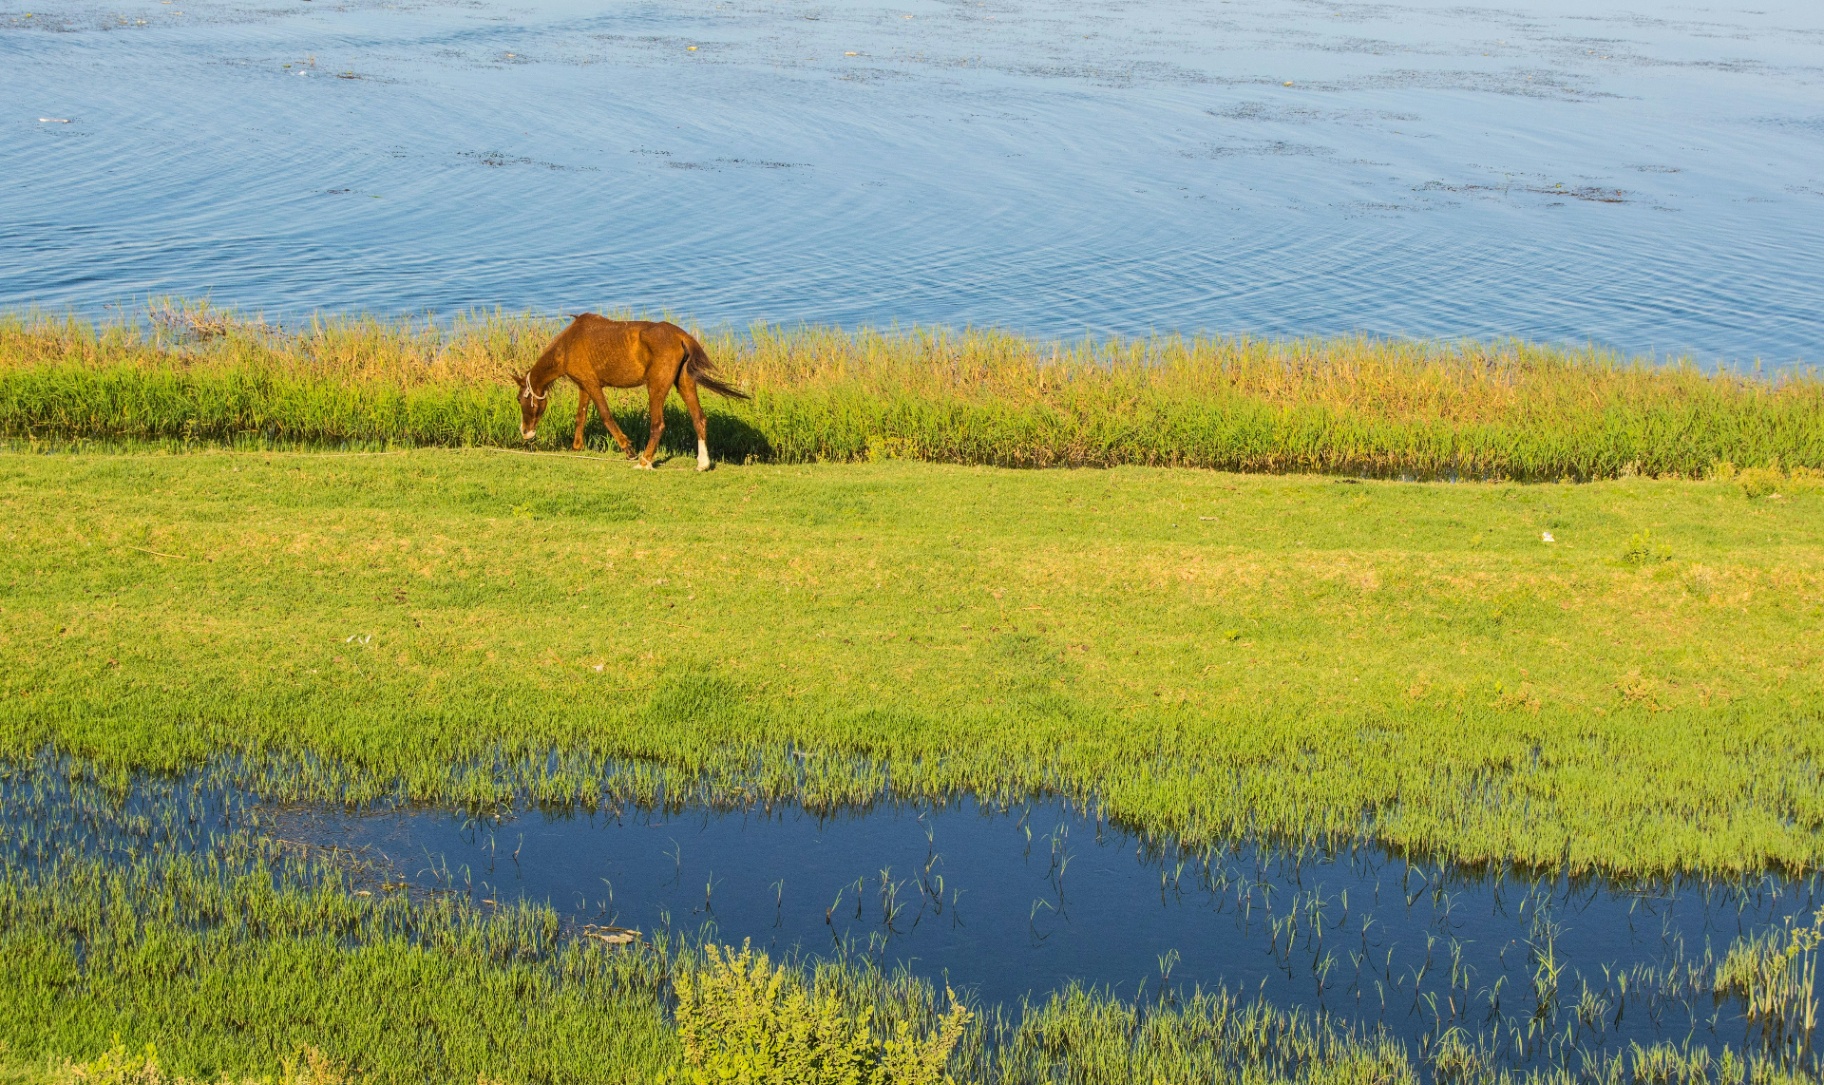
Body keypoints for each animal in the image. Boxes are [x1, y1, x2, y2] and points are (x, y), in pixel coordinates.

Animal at [515, 314, 749, 470]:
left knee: (658, 424)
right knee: (699, 419)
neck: (568, 344)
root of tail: (681, 336)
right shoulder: (584, 386)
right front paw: (576, 447)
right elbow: (580, 416)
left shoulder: (592, 385)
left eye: (519, 399)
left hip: (655, 386)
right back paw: (702, 463)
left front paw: (628, 450)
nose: (525, 432)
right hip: (684, 383)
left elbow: (605, 416)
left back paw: (644, 461)